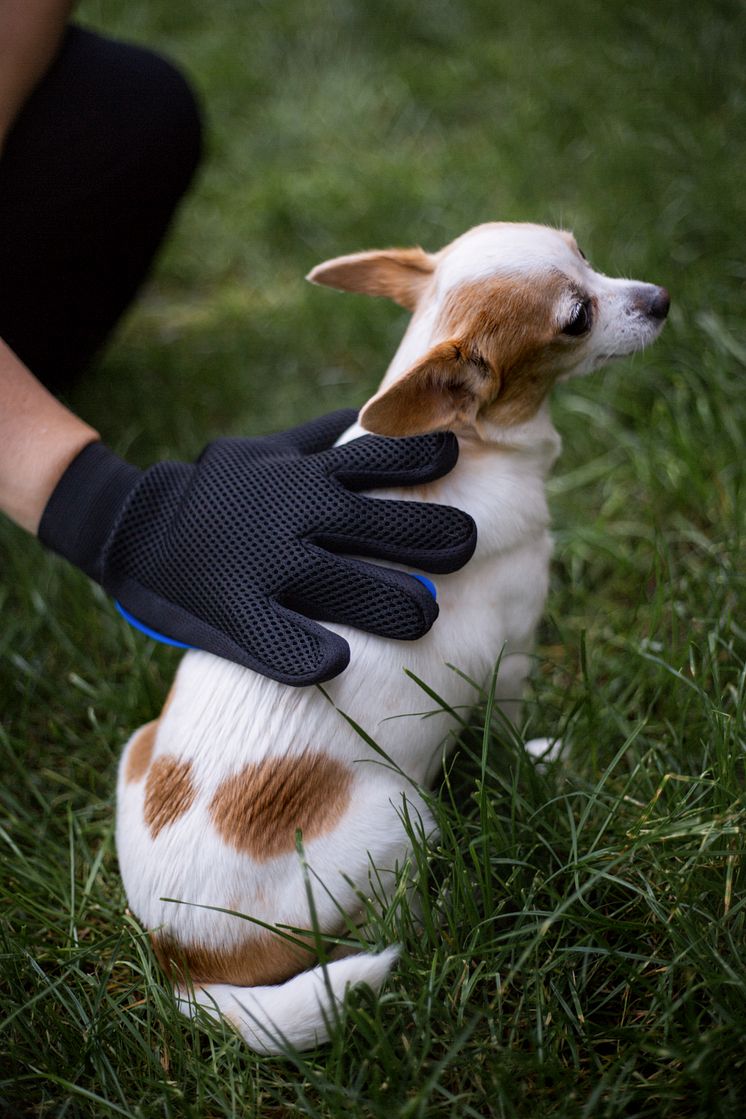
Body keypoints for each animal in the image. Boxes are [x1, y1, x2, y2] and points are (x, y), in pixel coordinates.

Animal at [116, 222, 671, 1051]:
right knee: (382, 921)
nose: (661, 298)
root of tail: (182, 962)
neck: (465, 436)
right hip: (402, 813)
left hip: (138, 747)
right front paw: (541, 763)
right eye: (577, 317)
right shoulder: (509, 657)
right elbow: (512, 735)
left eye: (583, 251)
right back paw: (434, 923)